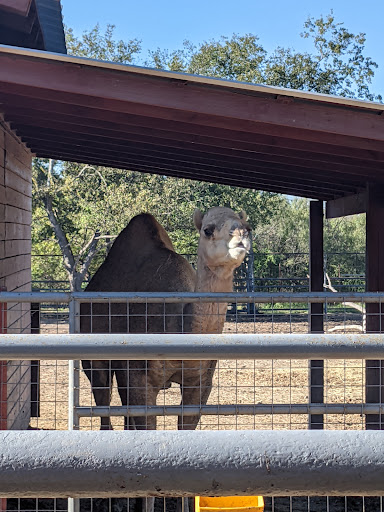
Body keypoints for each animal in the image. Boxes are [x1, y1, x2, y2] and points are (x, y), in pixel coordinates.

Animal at [80, 208, 252, 432]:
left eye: (248, 227)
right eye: (208, 230)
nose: (242, 237)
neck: (179, 327)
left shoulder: (201, 381)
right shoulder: (139, 377)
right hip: (94, 362)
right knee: (104, 408)